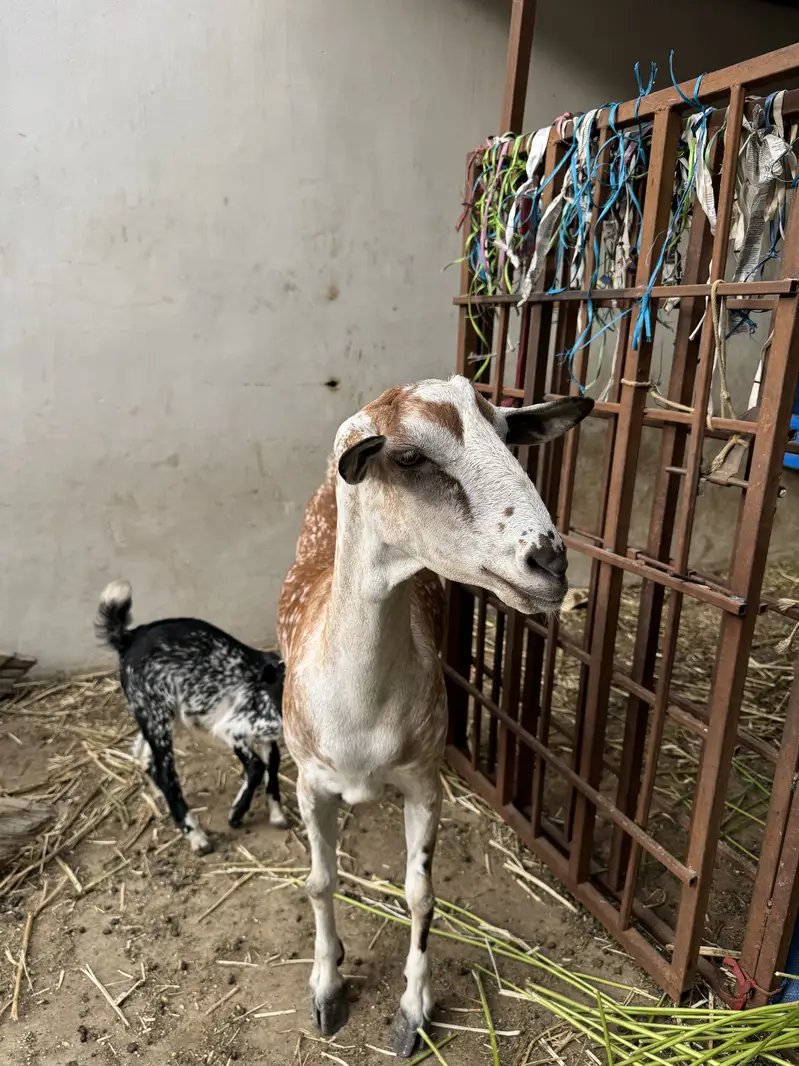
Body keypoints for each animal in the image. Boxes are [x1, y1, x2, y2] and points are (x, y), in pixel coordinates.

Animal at [96, 580, 288, 854]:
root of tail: (129, 638)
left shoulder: (266, 737)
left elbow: (273, 764)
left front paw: (277, 814)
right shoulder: (232, 728)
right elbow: (257, 767)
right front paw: (236, 815)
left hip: (160, 713)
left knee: (144, 754)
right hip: (156, 714)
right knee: (166, 774)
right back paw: (196, 836)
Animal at [277, 375, 592, 1056]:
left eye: (505, 433)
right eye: (410, 456)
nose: (551, 562)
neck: (361, 714)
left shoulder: (426, 780)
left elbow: (421, 896)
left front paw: (412, 1013)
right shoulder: (310, 781)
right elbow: (319, 881)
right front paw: (327, 989)